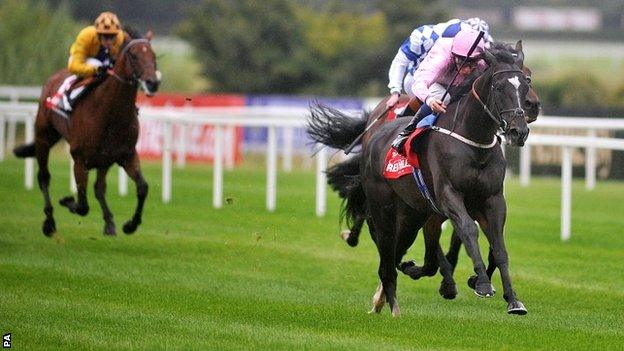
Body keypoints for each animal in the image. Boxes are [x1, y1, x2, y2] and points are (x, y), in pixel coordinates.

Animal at [13, 29, 161, 236]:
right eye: (134, 55)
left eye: (153, 56)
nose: (152, 83)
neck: (111, 112)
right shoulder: (80, 159)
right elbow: (82, 205)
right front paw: (67, 201)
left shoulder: (126, 155)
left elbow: (142, 187)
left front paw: (130, 225)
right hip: (44, 138)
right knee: (44, 178)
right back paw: (49, 222)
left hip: (104, 159)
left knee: (99, 187)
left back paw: (109, 223)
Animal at [310, 44, 528, 316]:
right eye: (499, 87)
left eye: (526, 84)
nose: (519, 131)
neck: (473, 143)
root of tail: (376, 133)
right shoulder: (448, 196)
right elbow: (468, 229)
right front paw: (482, 284)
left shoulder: (492, 200)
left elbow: (498, 248)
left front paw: (513, 300)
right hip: (384, 209)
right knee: (386, 250)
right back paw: (391, 303)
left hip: (412, 214)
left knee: (396, 250)